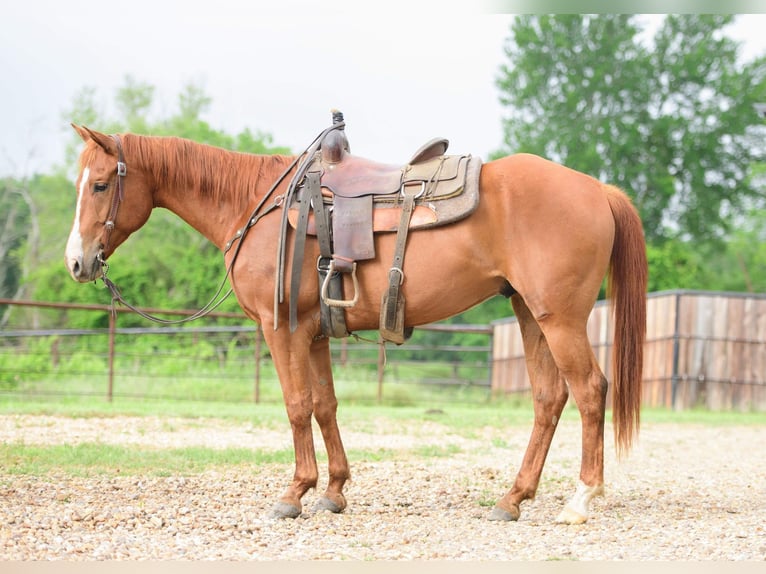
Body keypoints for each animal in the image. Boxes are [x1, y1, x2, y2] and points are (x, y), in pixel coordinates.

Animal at [64, 126, 648, 528]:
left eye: (100, 185)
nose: (77, 262)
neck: (258, 206)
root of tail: (599, 190)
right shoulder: (315, 333)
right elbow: (325, 406)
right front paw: (334, 491)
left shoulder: (281, 330)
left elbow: (297, 406)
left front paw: (293, 494)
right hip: (531, 314)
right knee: (550, 399)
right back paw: (513, 498)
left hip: (559, 319)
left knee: (589, 391)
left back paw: (580, 499)